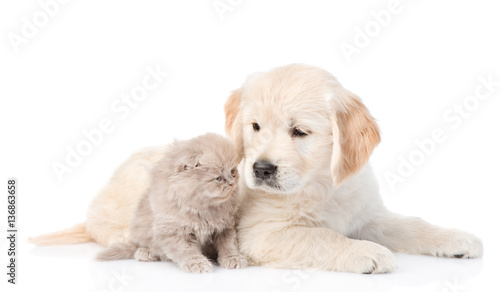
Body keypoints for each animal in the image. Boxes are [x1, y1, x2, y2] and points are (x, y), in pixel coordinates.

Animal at [96, 133, 248, 272]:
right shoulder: (173, 233)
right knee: (142, 245)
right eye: (218, 178)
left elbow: (228, 245)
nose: (232, 183)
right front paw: (198, 264)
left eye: (232, 171)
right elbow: (187, 251)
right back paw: (146, 253)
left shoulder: (225, 228)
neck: (203, 208)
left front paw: (233, 258)